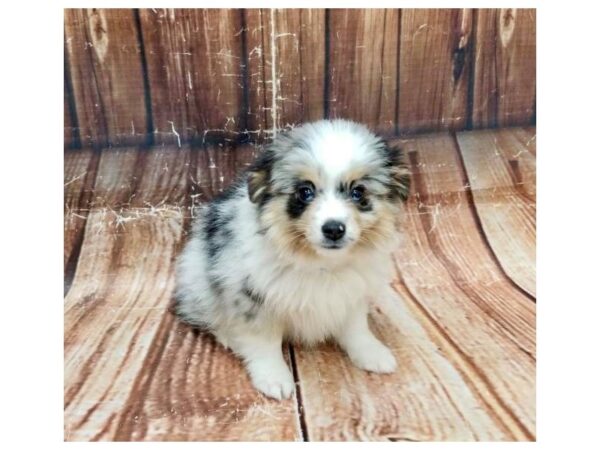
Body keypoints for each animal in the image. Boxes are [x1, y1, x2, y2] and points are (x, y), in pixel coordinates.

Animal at [173, 118, 408, 400]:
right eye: (304, 192)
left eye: (358, 192)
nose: (333, 229)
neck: (321, 265)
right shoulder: (252, 298)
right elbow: (265, 342)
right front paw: (273, 376)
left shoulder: (353, 294)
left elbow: (356, 327)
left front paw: (371, 352)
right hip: (200, 281)